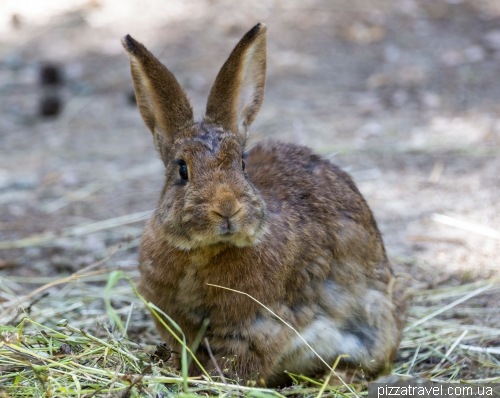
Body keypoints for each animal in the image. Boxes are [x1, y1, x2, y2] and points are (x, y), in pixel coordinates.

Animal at [121, 23, 406, 388]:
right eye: (182, 170)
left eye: (242, 163)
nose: (227, 208)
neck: (204, 251)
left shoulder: (258, 326)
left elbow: (241, 363)